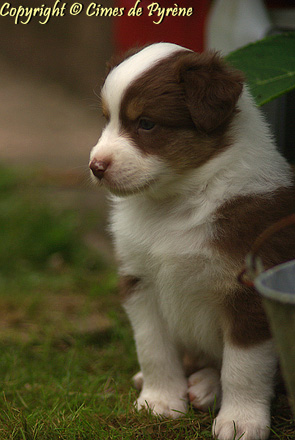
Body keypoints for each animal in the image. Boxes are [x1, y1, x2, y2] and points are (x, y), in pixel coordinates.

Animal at [89, 42, 295, 440]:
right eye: (107, 119)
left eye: (146, 123)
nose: (96, 166)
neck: (175, 204)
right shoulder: (140, 281)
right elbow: (152, 347)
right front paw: (158, 402)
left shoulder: (248, 291)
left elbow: (244, 367)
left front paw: (240, 422)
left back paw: (207, 387)